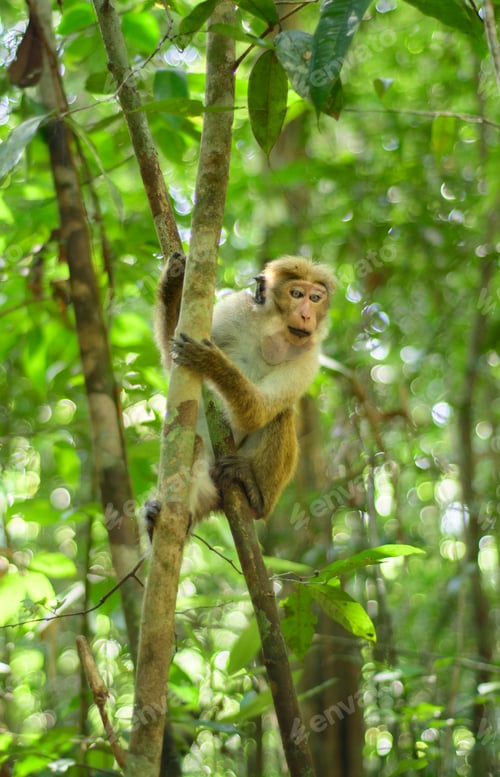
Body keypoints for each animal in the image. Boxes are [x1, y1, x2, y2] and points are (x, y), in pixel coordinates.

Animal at [151, 252, 335, 526]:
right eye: (296, 294)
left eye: (315, 298)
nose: (306, 315)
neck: (270, 333)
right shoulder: (235, 309)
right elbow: (168, 358)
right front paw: (173, 280)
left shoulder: (308, 359)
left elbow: (259, 412)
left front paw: (212, 362)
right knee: (194, 445)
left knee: (280, 414)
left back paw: (254, 492)